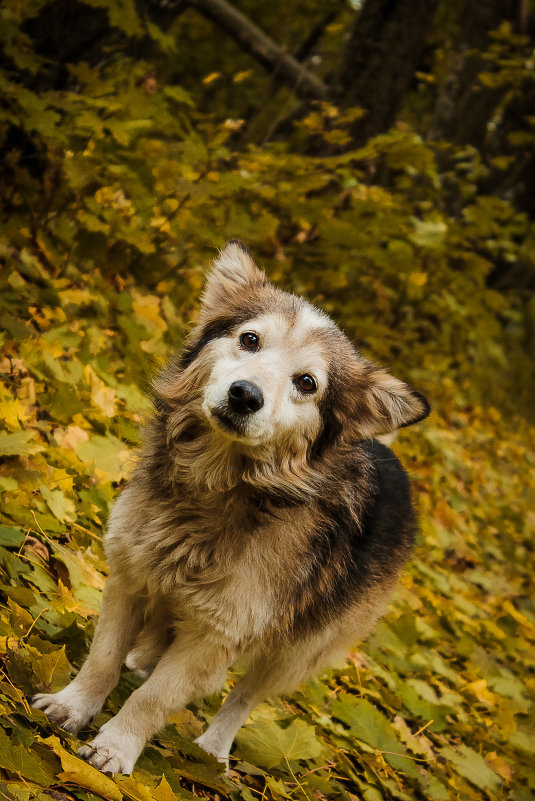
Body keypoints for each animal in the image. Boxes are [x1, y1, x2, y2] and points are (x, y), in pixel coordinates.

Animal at [31, 241, 430, 772]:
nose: (245, 395)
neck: (214, 486)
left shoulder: (219, 634)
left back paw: (213, 746)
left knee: (243, 695)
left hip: (296, 653)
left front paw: (116, 747)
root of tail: (386, 454)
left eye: (307, 382)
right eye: (250, 340)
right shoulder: (129, 578)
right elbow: (102, 658)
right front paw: (73, 705)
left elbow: (155, 699)